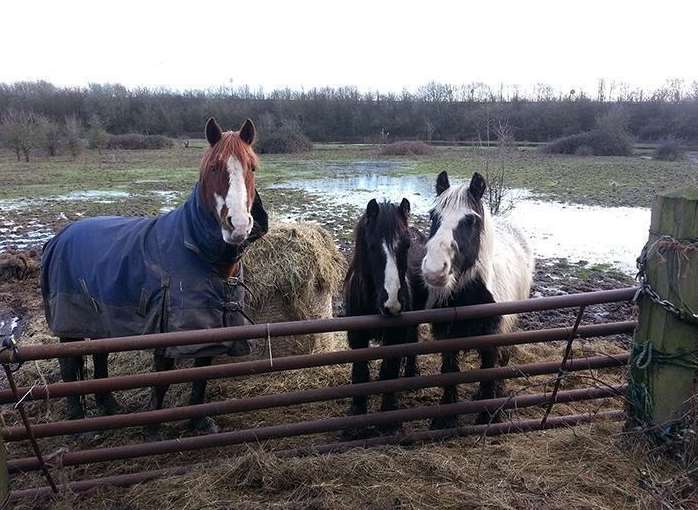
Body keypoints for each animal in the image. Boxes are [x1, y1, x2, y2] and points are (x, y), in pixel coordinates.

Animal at [342, 197, 424, 432]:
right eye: (372, 246)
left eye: (406, 245)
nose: (392, 302)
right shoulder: (357, 337)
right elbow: (360, 374)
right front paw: (356, 419)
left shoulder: (395, 335)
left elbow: (390, 371)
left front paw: (389, 420)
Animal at [418, 172, 532, 430]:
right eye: (433, 215)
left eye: (470, 220)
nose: (434, 271)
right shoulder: (446, 339)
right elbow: (449, 373)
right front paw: (446, 419)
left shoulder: (491, 340)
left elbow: (489, 372)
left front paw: (487, 417)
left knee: (504, 358)